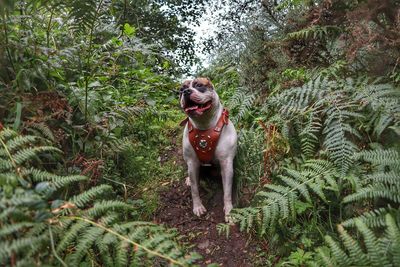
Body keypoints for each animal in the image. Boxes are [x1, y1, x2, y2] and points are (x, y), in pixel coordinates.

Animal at [179, 77, 238, 222]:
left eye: (199, 85)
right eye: (181, 90)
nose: (186, 92)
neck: (204, 124)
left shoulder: (226, 164)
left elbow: (227, 192)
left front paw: (229, 211)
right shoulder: (192, 163)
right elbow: (195, 189)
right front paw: (198, 207)